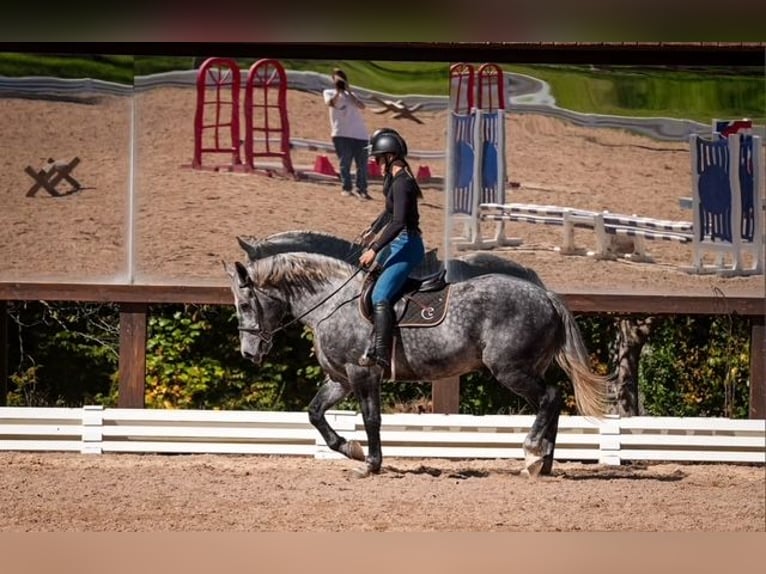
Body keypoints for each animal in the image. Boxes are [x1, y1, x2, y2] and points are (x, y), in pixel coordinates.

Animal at [225, 249, 611, 479]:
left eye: (244, 305)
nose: (248, 353)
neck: (331, 304)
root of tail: (545, 295)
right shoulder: (341, 379)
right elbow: (315, 413)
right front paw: (350, 449)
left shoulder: (362, 373)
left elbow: (372, 419)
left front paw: (371, 463)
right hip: (527, 369)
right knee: (553, 401)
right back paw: (541, 464)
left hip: (510, 370)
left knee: (549, 398)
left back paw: (532, 451)